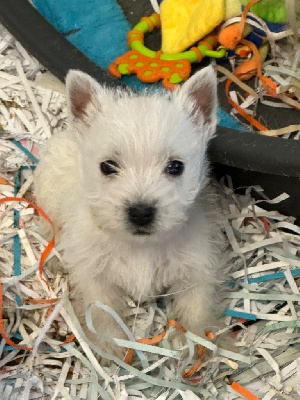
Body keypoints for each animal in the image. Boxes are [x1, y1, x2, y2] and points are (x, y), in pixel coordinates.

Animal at [34, 65, 225, 360]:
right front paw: (112, 348)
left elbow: (197, 308)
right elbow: (102, 313)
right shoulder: (94, 277)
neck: (140, 246)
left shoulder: (195, 270)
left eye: (175, 167)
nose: (141, 213)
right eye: (108, 166)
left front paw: (200, 346)